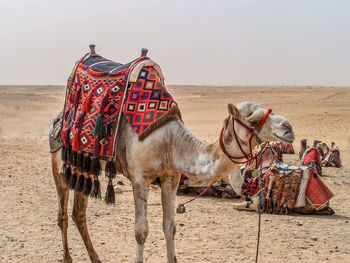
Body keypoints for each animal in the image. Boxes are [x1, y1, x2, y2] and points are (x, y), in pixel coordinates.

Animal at [50, 95, 294, 262]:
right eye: (252, 120)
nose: (288, 128)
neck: (170, 142)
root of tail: (60, 118)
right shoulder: (139, 178)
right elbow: (141, 231)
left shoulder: (171, 177)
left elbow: (170, 227)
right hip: (60, 163)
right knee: (63, 213)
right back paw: (67, 258)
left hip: (85, 168)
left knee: (78, 213)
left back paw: (96, 259)